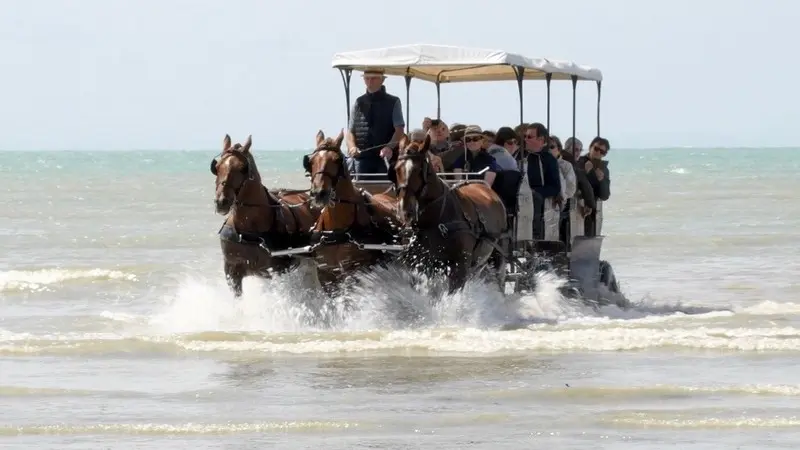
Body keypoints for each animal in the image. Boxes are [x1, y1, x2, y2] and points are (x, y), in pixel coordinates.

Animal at [212, 133, 318, 298]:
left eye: (242, 168)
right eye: (216, 168)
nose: (221, 201)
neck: (249, 228)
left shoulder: (275, 271)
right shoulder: (232, 271)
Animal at [300, 129, 404, 296]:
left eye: (337, 160)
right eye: (310, 161)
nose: (319, 193)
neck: (337, 228)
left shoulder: (356, 271)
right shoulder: (326, 274)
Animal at [390, 134, 510, 296]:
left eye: (418, 169)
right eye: (396, 169)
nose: (404, 210)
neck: (435, 220)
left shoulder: (459, 267)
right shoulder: (421, 265)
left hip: (497, 254)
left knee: (499, 278)